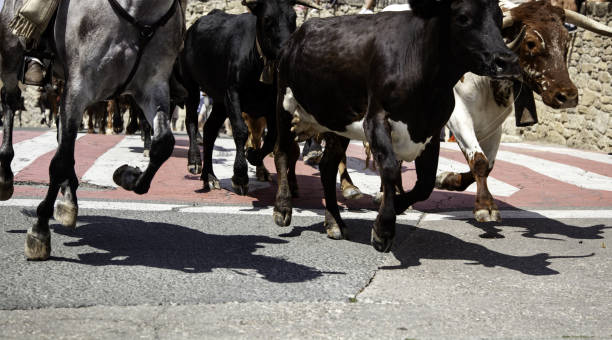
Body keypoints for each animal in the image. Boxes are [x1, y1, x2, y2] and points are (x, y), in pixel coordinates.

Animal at [177, 0, 318, 195]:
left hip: (219, 101)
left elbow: (271, 137)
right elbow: (241, 131)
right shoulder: (233, 93)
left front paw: (253, 155)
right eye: (267, 19)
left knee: (210, 130)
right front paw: (240, 176)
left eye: (293, 17)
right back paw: (195, 162)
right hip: (191, 85)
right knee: (191, 121)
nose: (287, 51)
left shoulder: (272, 104)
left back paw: (210, 177)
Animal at [274, 0, 520, 252]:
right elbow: (391, 168)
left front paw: (397, 205)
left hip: (338, 120)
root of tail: (297, 35)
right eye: (462, 17)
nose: (507, 61)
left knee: (326, 166)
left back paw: (334, 222)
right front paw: (383, 229)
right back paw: (282, 208)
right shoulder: (376, 118)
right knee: (283, 152)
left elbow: (425, 184)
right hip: (283, 101)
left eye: (499, 17)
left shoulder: (431, 129)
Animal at [436, 0, 612, 222]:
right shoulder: (459, 115)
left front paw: (447, 179)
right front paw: (485, 206)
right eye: (530, 43)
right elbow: (479, 161)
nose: (568, 96)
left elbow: (488, 164)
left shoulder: (494, 125)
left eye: (566, 41)